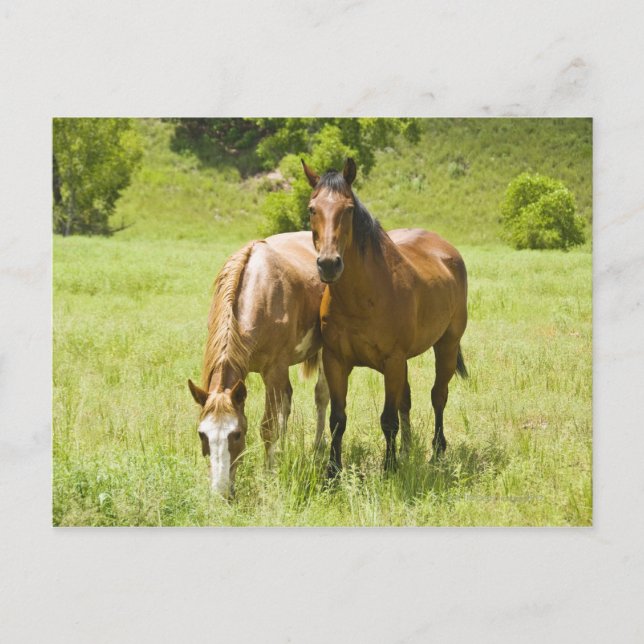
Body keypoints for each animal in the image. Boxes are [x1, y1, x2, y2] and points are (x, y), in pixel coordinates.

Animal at [188, 232, 330, 497]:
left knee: (321, 396)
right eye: (202, 434)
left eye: (236, 434)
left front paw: (269, 474)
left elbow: (267, 427)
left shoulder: (273, 371)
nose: (220, 493)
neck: (261, 294)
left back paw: (317, 448)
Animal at [301, 158, 468, 478]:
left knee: (438, 395)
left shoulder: (392, 361)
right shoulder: (335, 361)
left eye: (348, 209)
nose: (328, 264)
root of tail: (448, 251)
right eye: (312, 208)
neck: (363, 297)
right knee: (408, 399)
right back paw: (408, 449)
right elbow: (337, 419)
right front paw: (332, 471)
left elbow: (388, 418)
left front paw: (389, 468)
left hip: (446, 345)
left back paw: (436, 451)